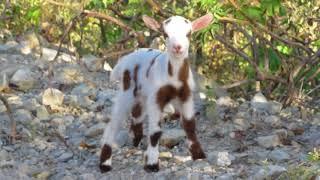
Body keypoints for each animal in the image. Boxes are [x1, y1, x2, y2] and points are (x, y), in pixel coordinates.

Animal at [99, 13, 211, 172]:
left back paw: (136, 140)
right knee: (115, 122)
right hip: (127, 89)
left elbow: (190, 125)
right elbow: (156, 131)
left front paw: (199, 155)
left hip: (142, 94)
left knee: (137, 114)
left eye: (188, 34)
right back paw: (105, 163)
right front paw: (152, 163)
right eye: (165, 34)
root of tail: (126, 59)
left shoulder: (186, 95)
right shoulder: (157, 96)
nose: (177, 47)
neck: (173, 77)